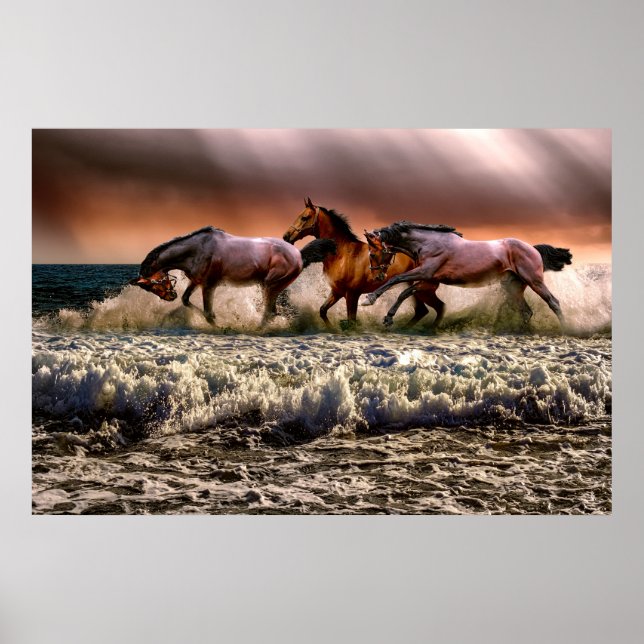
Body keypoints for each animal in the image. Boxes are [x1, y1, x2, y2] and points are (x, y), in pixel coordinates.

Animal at [132, 225, 336, 326]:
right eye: (149, 288)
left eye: (154, 283)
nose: (169, 296)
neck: (197, 250)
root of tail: (299, 255)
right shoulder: (197, 281)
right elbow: (186, 300)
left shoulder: (209, 285)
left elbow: (207, 313)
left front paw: (221, 326)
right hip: (273, 288)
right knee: (272, 312)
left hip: (270, 286)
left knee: (269, 313)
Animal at [283, 198, 444, 327]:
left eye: (304, 217)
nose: (286, 237)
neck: (342, 255)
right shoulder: (337, 292)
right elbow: (322, 311)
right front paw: (332, 329)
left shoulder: (352, 294)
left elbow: (351, 321)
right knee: (425, 310)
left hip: (422, 290)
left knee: (434, 308)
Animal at [362, 221, 572, 329]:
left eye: (372, 253)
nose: (376, 276)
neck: (428, 243)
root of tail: (533, 248)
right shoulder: (428, 280)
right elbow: (404, 293)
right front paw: (388, 318)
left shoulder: (425, 272)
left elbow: (396, 280)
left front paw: (369, 298)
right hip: (513, 287)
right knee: (526, 311)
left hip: (535, 281)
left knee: (553, 302)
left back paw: (566, 329)